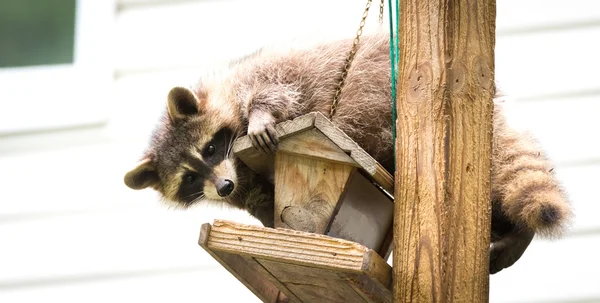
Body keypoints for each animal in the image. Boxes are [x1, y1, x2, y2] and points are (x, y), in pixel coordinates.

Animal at [123, 33, 572, 276]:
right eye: (189, 178)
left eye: (211, 147)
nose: (223, 186)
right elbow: (263, 201)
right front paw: (274, 223)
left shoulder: (257, 76)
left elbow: (273, 88)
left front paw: (261, 115)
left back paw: (518, 231)